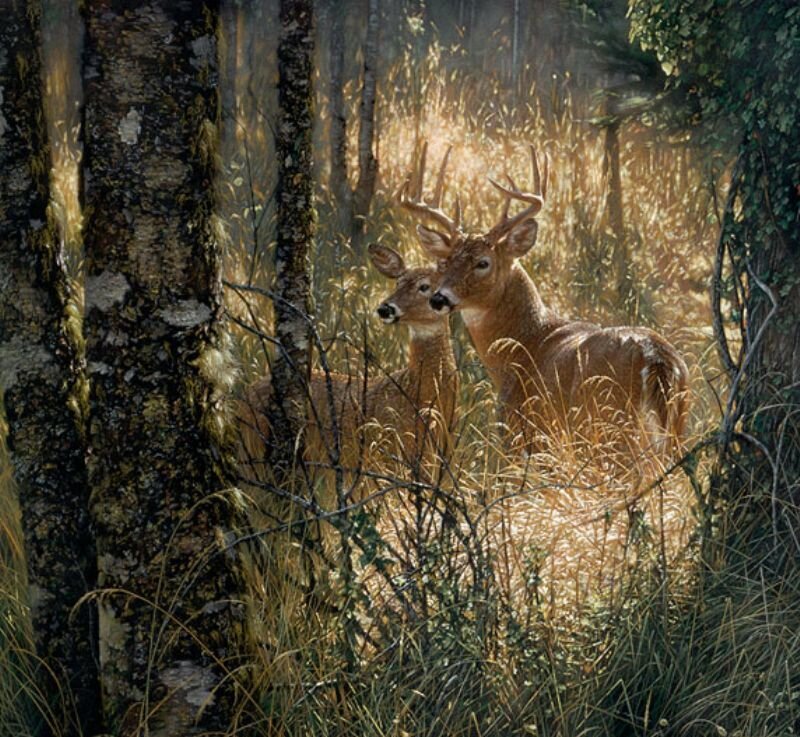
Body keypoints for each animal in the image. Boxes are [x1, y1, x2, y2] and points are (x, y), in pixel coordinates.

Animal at [236, 246, 459, 480]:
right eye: (398, 283)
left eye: (424, 286)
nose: (385, 309)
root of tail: (243, 397)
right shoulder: (390, 450)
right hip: (253, 448)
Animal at [403, 143, 689, 471]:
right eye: (445, 262)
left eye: (483, 263)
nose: (439, 298)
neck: (524, 343)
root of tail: (656, 358)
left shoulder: (524, 433)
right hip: (676, 425)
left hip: (609, 428)